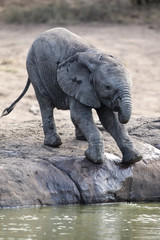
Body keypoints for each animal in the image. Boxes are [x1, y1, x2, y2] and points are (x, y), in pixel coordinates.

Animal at [1, 27, 142, 164]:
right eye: (108, 87)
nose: (118, 107)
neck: (97, 59)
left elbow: (110, 119)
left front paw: (134, 159)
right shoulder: (79, 84)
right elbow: (81, 115)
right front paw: (93, 159)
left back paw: (81, 138)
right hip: (34, 68)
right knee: (45, 102)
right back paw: (54, 144)